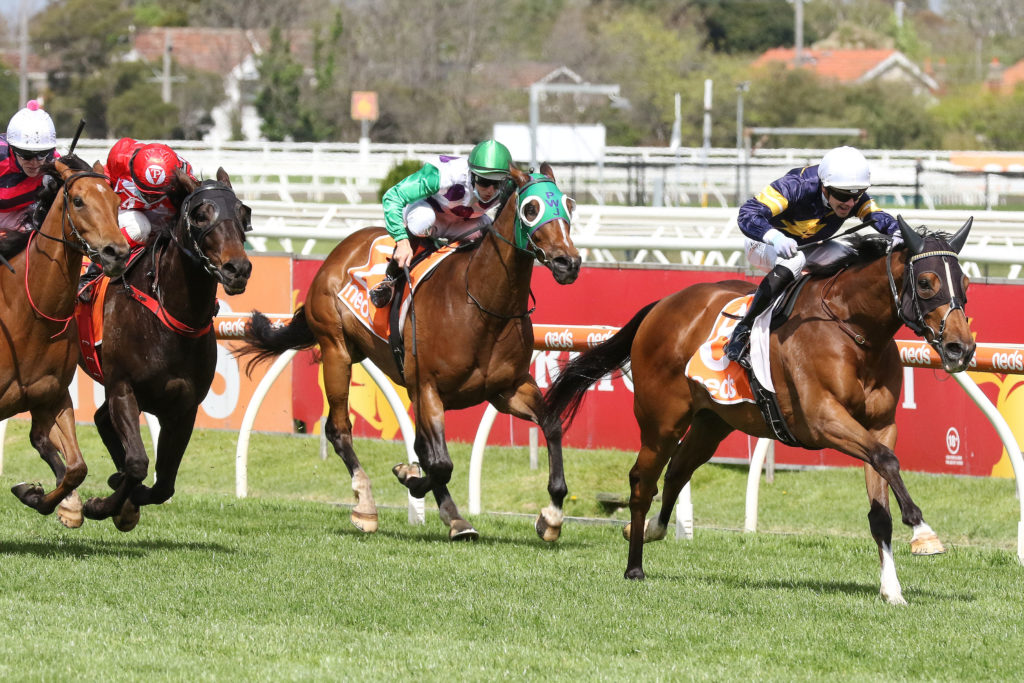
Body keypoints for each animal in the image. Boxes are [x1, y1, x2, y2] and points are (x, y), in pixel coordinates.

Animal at [3, 155, 130, 526]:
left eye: (116, 201)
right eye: (78, 200)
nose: (116, 252)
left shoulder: (53, 397)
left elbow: (76, 468)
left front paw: (37, 496)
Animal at [76, 168, 252, 530]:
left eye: (244, 213)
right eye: (200, 215)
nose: (237, 269)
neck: (170, 318)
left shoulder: (184, 407)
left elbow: (164, 483)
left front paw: (126, 499)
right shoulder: (122, 389)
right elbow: (137, 462)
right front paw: (100, 506)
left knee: (100, 419)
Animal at [238, 163, 580, 541]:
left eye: (569, 205)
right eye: (531, 208)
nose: (568, 262)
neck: (481, 304)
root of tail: (339, 251)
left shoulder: (509, 389)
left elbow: (551, 425)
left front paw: (551, 515)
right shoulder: (427, 387)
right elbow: (440, 463)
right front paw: (410, 478)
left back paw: (453, 517)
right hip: (336, 349)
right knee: (339, 429)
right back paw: (366, 505)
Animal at [543, 217, 975, 605]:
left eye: (966, 284)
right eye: (926, 282)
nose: (961, 348)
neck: (853, 330)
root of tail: (662, 306)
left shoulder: (880, 425)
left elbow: (881, 499)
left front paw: (893, 590)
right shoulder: (822, 419)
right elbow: (887, 460)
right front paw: (922, 530)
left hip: (712, 422)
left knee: (678, 471)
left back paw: (652, 529)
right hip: (661, 422)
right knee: (642, 482)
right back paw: (634, 565)